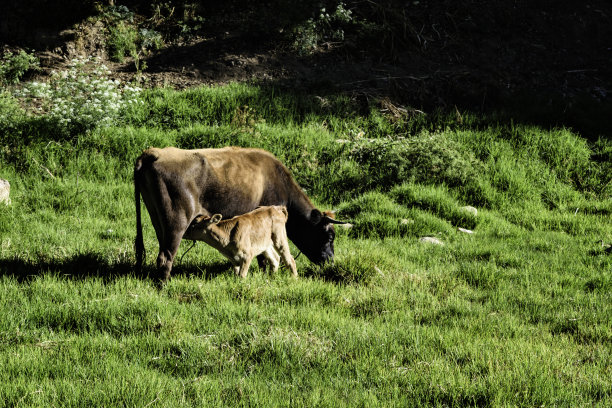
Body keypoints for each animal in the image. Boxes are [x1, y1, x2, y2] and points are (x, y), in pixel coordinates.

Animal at [134, 145, 344, 282]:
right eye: (329, 236)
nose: (331, 261)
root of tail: (153, 153)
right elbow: (262, 255)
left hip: (159, 223)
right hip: (176, 224)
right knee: (166, 257)